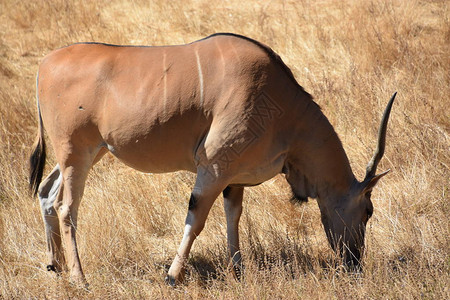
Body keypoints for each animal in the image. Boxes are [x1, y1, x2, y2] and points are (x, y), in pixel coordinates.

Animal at [29, 33, 394, 286]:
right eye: (368, 210)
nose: (355, 263)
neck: (282, 105)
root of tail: (44, 64)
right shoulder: (214, 168)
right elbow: (197, 220)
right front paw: (172, 276)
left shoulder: (233, 177)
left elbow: (233, 217)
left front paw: (239, 271)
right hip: (75, 154)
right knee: (66, 207)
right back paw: (79, 278)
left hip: (86, 154)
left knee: (46, 193)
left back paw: (55, 266)